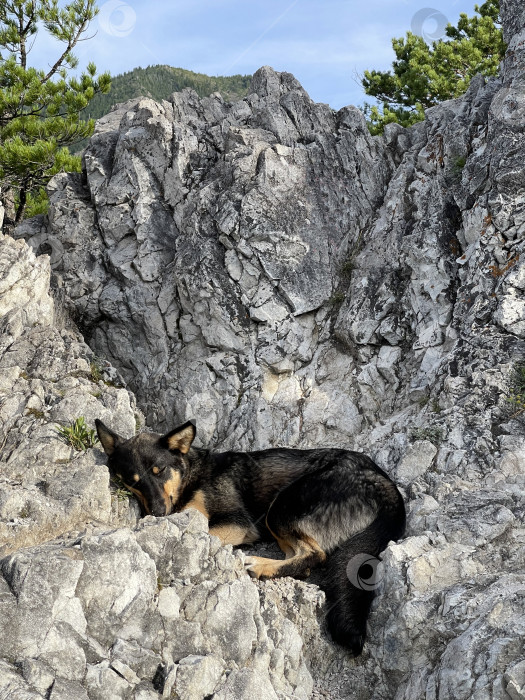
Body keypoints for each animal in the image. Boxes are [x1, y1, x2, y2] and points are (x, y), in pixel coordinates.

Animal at [95, 418, 406, 652]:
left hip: (281, 507)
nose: (158, 513)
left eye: (160, 472)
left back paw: (259, 565)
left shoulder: (237, 523)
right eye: (132, 481)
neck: (193, 474)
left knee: (315, 554)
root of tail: (385, 484)